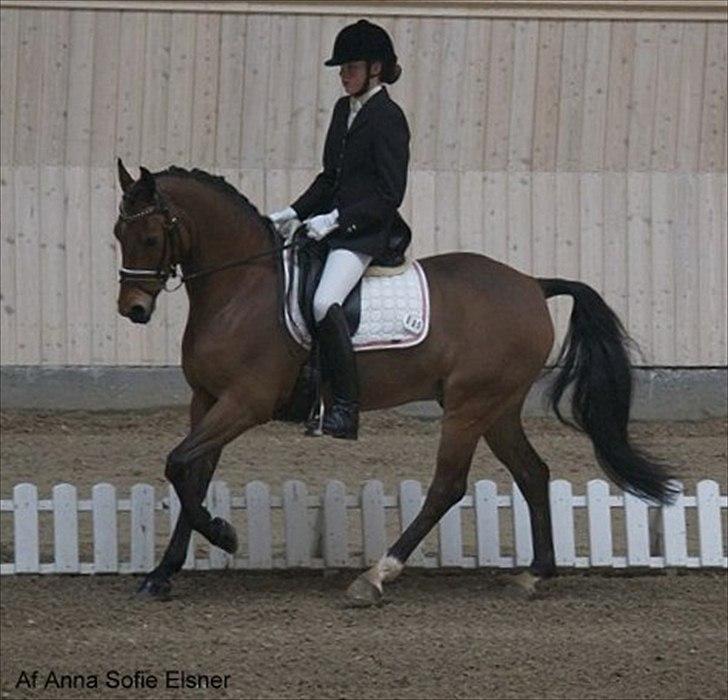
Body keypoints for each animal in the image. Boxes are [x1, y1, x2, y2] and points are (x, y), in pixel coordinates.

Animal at [114, 159, 676, 604]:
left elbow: (178, 463)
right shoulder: (206, 400)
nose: (133, 311)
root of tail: (533, 285)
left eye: (150, 237)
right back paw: (535, 575)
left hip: (471, 404)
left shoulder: (244, 403)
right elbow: (191, 474)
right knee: (533, 473)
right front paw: (162, 574)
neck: (240, 288)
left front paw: (224, 536)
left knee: (448, 485)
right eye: (118, 235)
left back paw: (377, 576)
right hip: (497, 408)